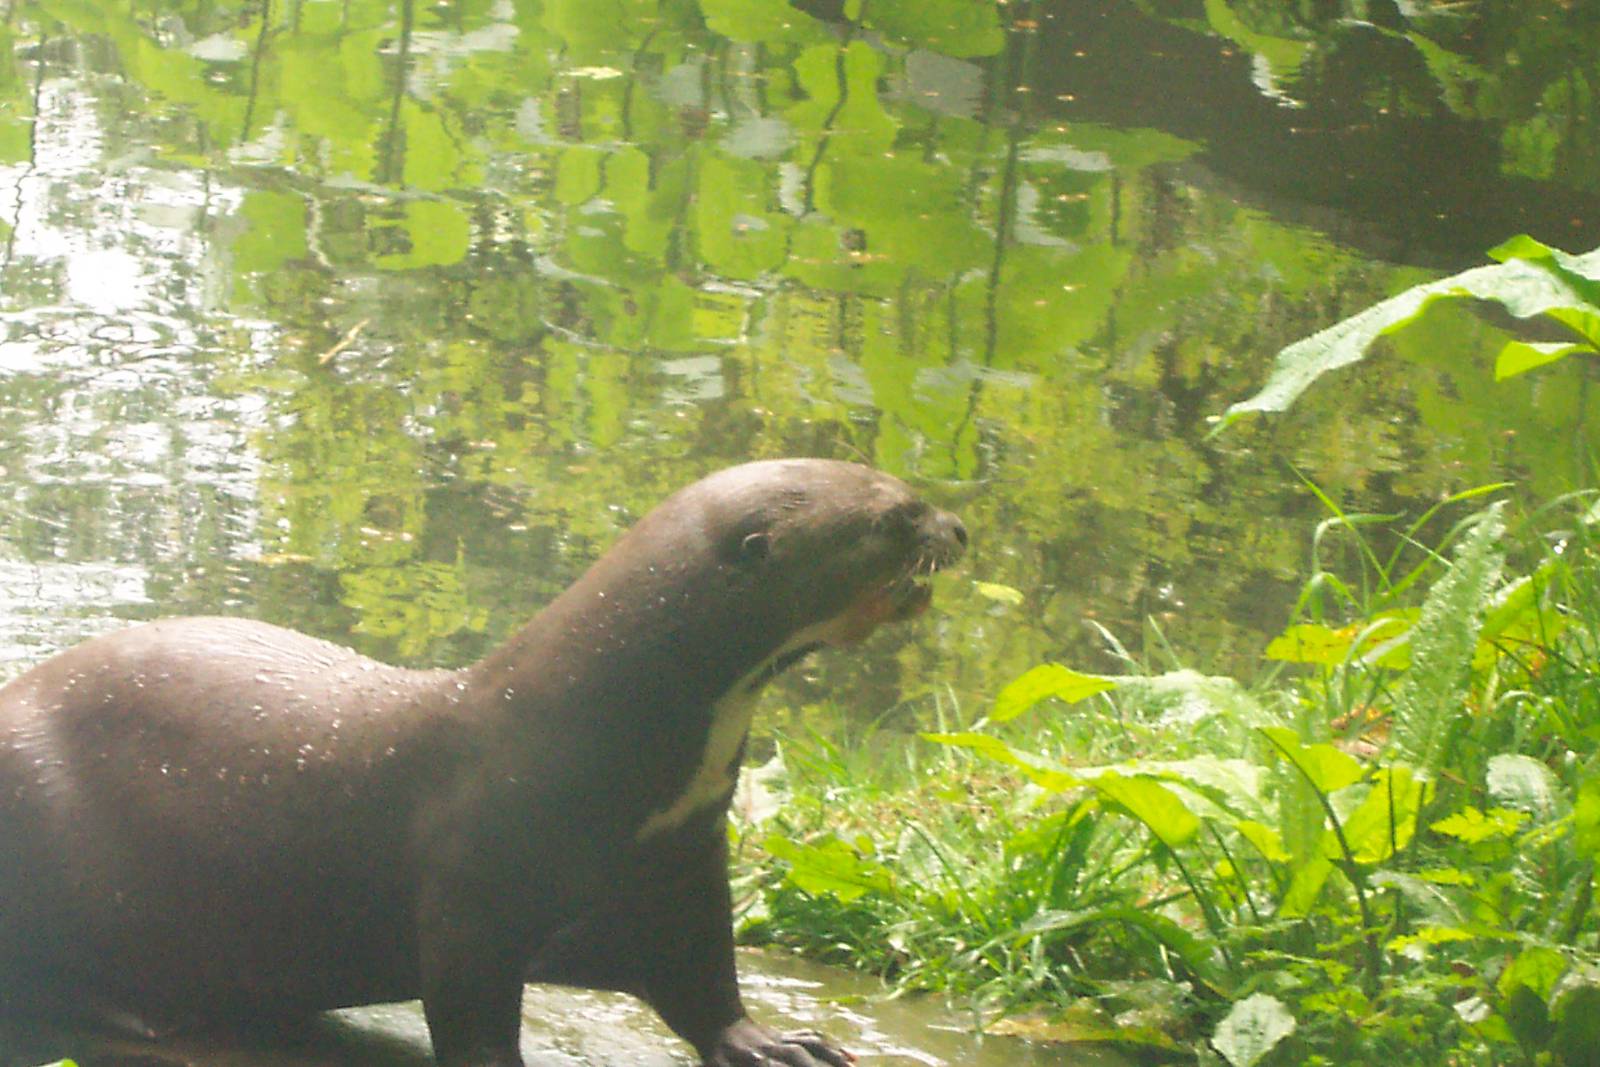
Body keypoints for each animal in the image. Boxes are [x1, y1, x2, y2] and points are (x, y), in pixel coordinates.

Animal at [0, 459, 966, 1067]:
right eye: (890, 518)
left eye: (902, 488)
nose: (956, 527)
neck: (592, 741)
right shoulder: (472, 880)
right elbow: (469, 1012)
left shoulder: (685, 857)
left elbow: (702, 975)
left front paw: (771, 1042)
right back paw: (140, 1010)